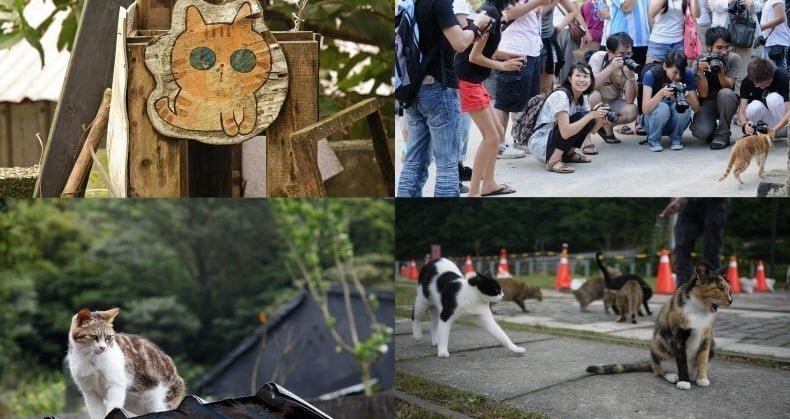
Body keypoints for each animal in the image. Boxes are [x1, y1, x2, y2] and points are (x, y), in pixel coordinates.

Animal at [155, 3, 272, 138]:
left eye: (243, 58)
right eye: (202, 56)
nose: (222, 65)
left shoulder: (249, 103)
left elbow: (249, 118)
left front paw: (244, 129)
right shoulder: (226, 108)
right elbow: (228, 119)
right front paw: (232, 130)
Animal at [588, 262, 736, 390]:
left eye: (729, 289)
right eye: (720, 288)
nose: (731, 300)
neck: (699, 309)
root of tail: (652, 363)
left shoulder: (706, 337)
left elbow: (703, 359)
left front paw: (702, 378)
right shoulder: (678, 336)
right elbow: (682, 361)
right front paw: (684, 381)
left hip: (713, 345)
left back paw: (693, 376)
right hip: (659, 345)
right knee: (660, 371)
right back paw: (673, 376)